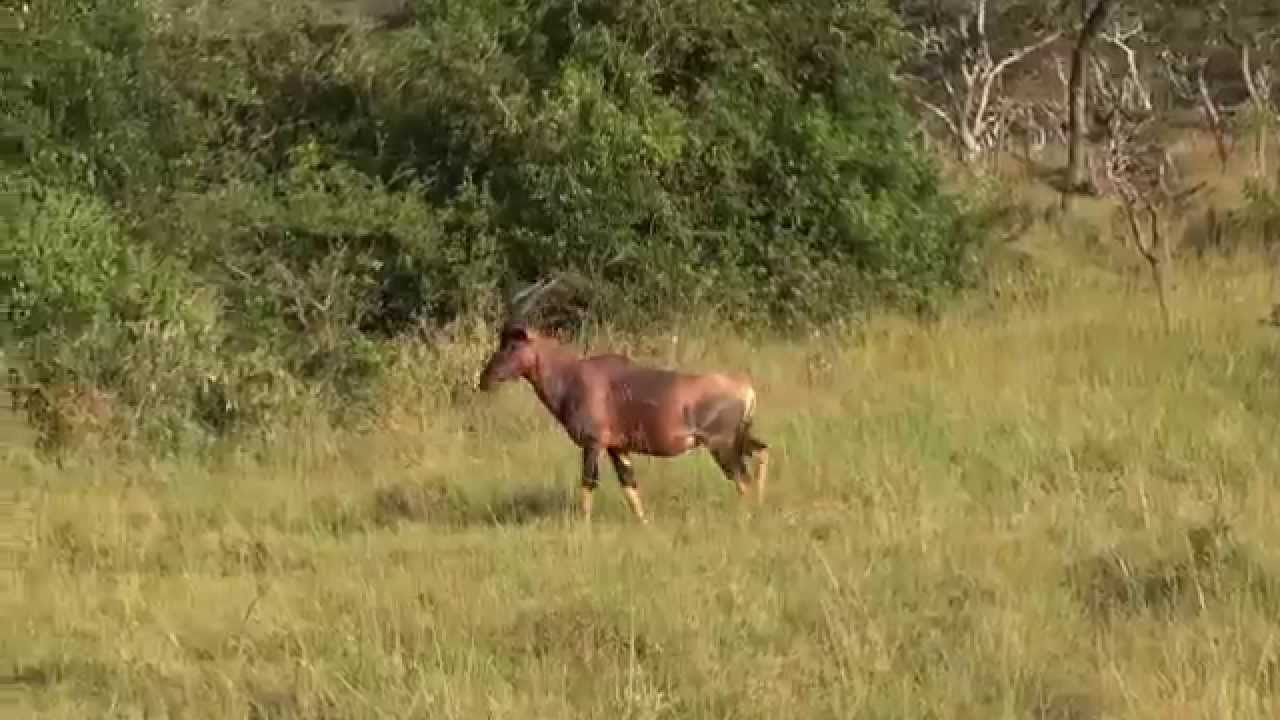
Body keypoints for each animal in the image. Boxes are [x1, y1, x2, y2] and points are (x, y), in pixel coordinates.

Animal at [476, 279, 769, 524]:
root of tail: (746, 389)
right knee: (762, 452)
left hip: (721, 445)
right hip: (737, 440)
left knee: (743, 480)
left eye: (513, 344)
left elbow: (588, 482)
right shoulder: (618, 448)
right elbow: (629, 484)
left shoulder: (593, 443)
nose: (485, 379)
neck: (574, 374)